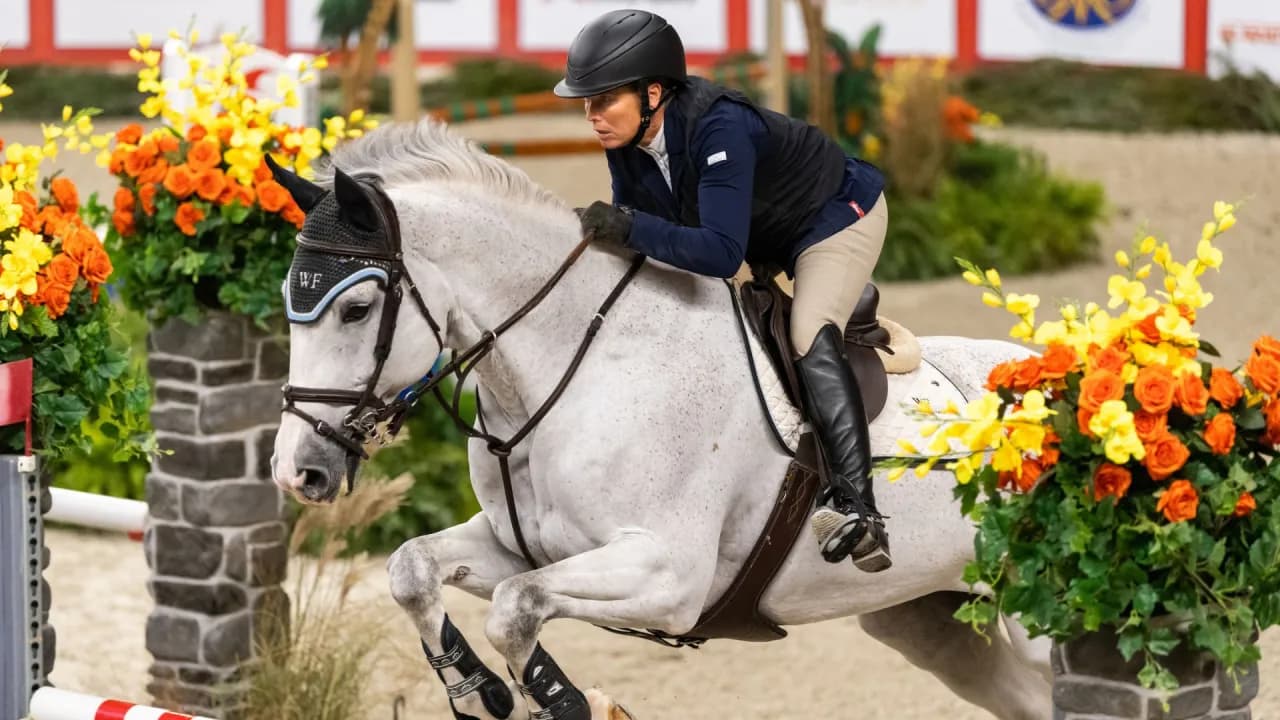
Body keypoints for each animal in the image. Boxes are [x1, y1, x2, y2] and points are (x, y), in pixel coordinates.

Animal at [267, 117, 1054, 720]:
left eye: (356, 308)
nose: (297, 472)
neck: (571, 368)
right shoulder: (519, 545)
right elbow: (412, 569)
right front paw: (480, 691)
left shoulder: (669, 576)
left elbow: (516, 608)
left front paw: (567, 701)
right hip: (933, 620)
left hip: (1037, 614)